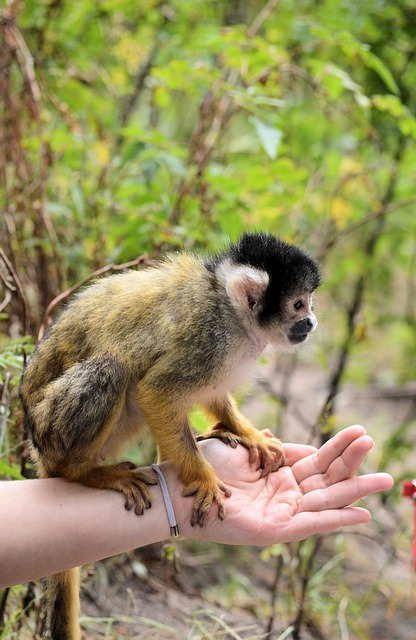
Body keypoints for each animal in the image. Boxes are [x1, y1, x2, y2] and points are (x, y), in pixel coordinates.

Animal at [19, 232, 322, 636]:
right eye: (298, 304)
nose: (312, 321)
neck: (230, 310)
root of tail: (36, 443)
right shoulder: (209, 338)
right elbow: (156, 393)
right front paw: (204, 478)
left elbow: (210, 393)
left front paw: (246, 432)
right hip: (52, 428)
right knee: (113, 369)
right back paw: (84, 473)